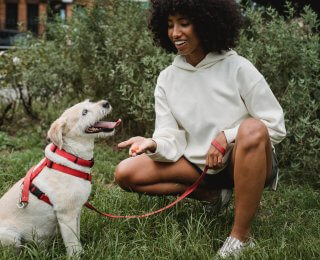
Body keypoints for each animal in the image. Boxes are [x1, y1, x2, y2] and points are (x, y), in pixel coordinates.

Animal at [0, 99, 120, 256]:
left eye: (90, 102)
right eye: (84, 112)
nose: (106, 103)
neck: (72, 156)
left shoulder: (77, 211)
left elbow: (77, 236)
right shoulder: (66, 215)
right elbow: (73, 244)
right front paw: (77, 256)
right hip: (11, 236)